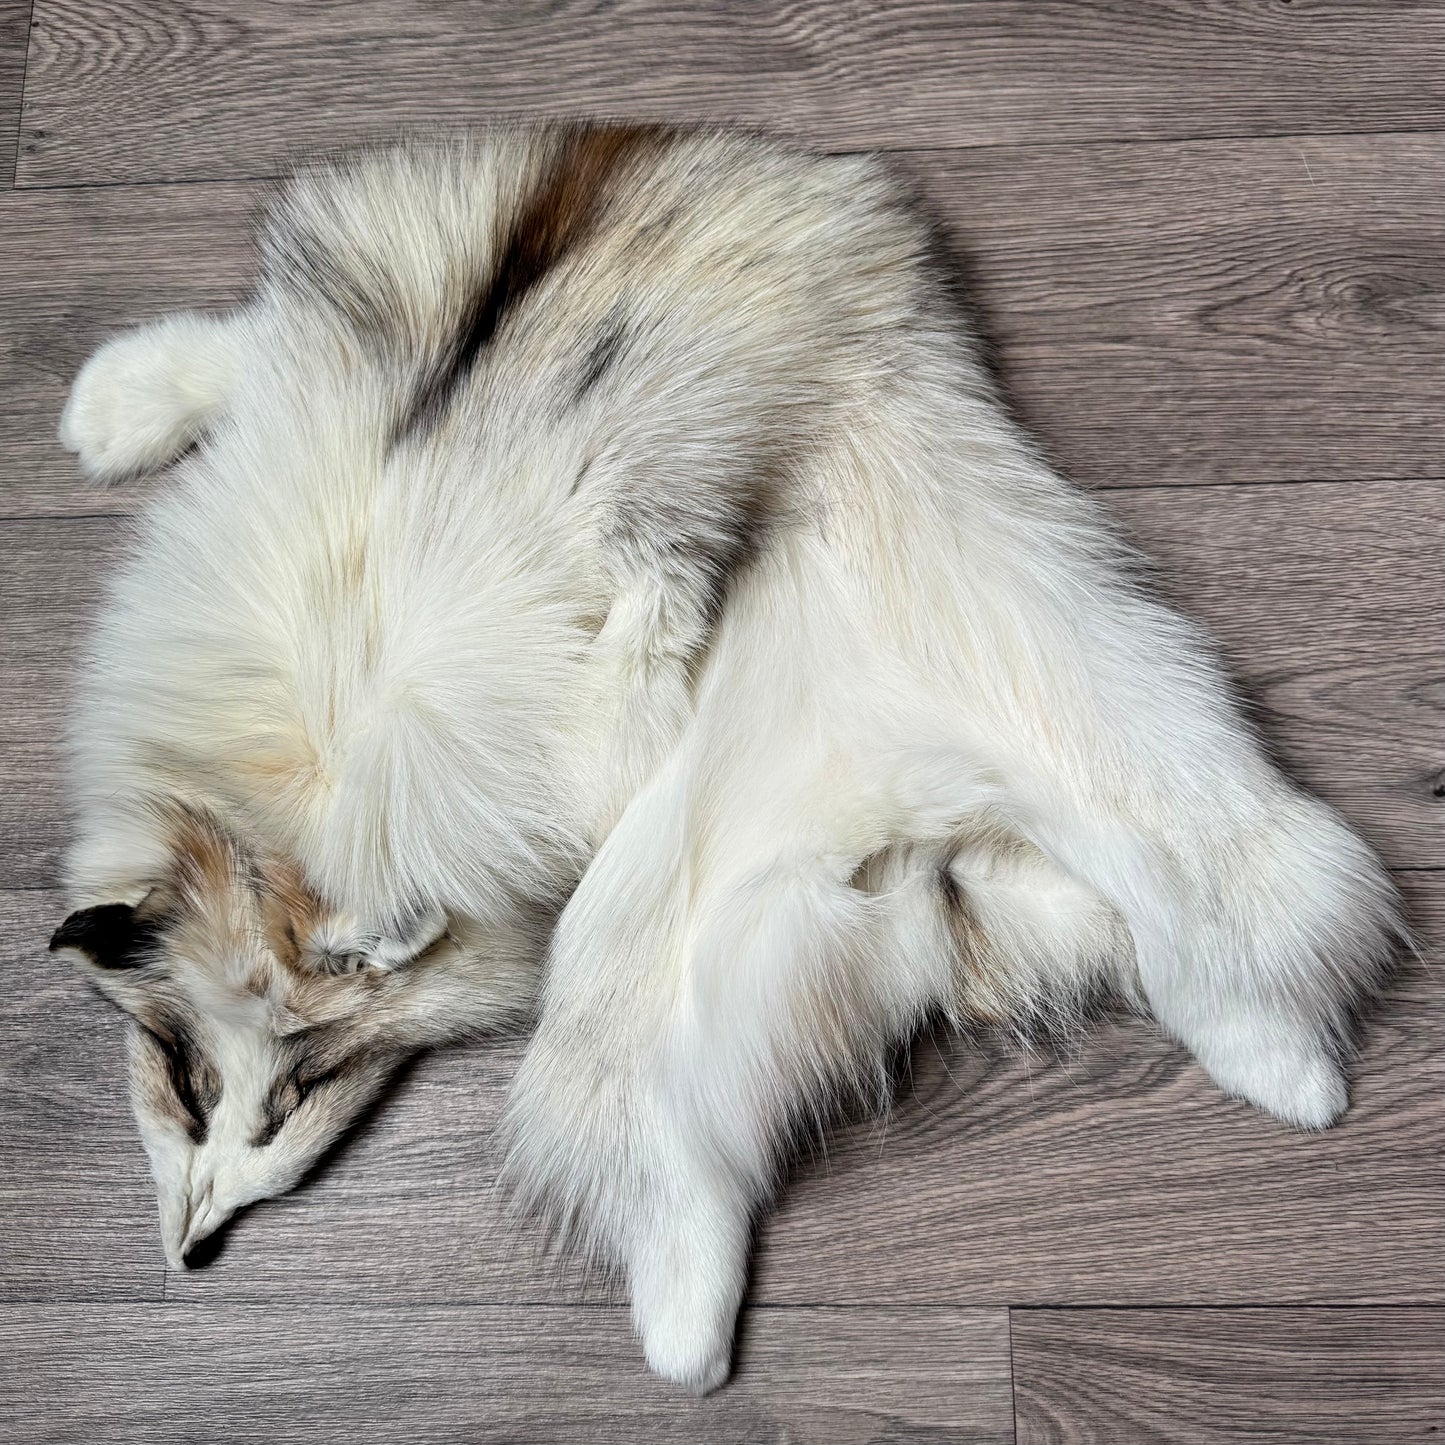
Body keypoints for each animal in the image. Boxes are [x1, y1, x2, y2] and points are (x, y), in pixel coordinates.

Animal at [50, 125, 1398, 1393]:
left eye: (304, 1085)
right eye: (181, 1081)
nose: (190, 1245)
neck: (262, 815)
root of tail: (913, 854)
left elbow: (625, 643)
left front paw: (664, 589)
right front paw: (121, 409)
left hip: (1094, 730)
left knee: (1229, 917)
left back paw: (1289, 1072)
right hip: (676, 967)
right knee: (671, 1158)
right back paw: (686, 1331)